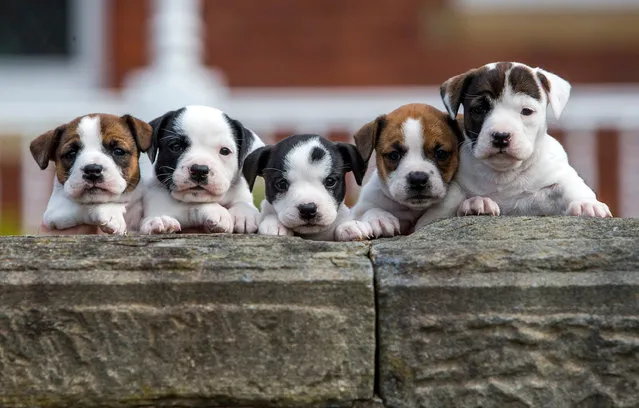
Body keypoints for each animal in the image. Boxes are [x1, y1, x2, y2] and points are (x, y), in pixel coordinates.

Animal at [139, 105, 262, 234]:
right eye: (176, 146)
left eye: (224, 151)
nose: (199, 169)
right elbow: (186, 205)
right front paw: (216, 211)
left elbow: (243, 201)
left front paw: (245, 214)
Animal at [350, 103, 464, 236]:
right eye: (394, 155)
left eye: (441, 153)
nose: (418, 179)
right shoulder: (359, 208)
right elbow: (367, 210)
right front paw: (380, 218)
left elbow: (453, 197)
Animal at [442, 61, 612, 218]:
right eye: (479, 109)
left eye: (526, 111)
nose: (501, 136)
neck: (504, 175)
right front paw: (477, 201)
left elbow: (570, 185)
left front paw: (586, 203)